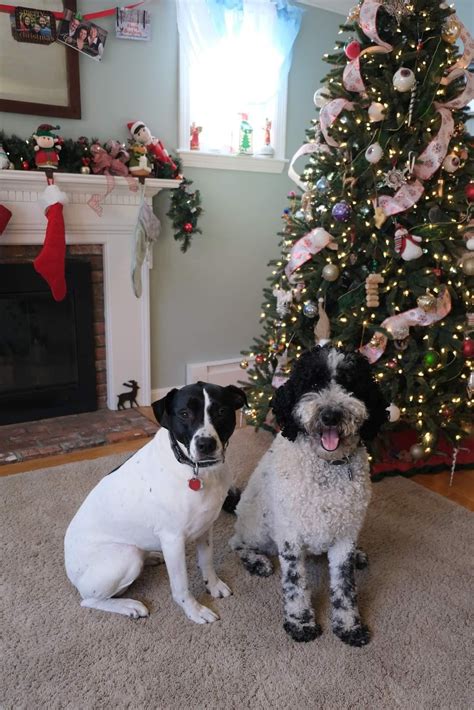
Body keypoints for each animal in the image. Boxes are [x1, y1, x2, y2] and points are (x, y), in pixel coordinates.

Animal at [64, 384, 246, 624]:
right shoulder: (173, 540)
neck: (195, 470)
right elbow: (181, 586)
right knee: (90, 600)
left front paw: (213, 586)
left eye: (221, 411)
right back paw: (129, 605)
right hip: (126, 556)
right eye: (184, 413)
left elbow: (207, 562)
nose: (206, 444)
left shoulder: (205, 527)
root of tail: (71, 573)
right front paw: (194, 610)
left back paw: (151, 557)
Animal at [230, 348, 388, 648]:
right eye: (312, 384)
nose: (331, 415)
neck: (327, 466)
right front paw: (301, 622)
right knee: (237, 543)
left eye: (350, 384)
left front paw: (349, 625)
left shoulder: (345, 536)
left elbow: (345, 586)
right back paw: (257, 561)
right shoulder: (291, 537)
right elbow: (295, 585)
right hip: (259, 526)